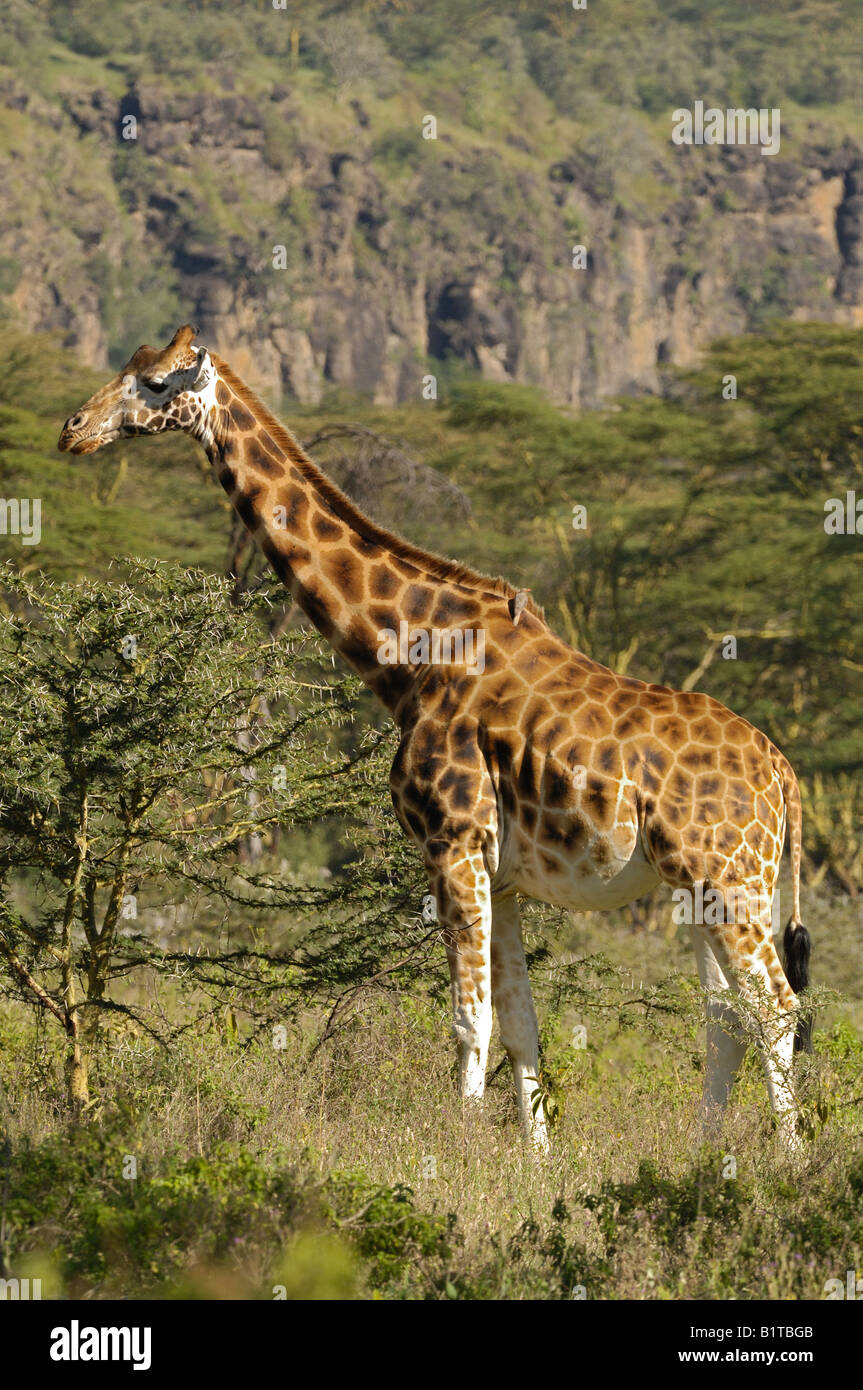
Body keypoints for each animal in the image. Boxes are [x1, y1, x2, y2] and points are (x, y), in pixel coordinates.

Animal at [57, 325, 811, 1150]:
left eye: (157, 382)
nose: (72, 430)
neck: (408, 662)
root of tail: (783, 776)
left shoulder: (452, 843)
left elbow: (467, 1020)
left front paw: (457, 1156)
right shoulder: (502, 874)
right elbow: (519, 1024)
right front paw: (532, 1160)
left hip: (729, 877)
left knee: (776, 1009)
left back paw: (787, 1161)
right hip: (702, 885)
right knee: (726, 1018)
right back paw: (706, 1158)